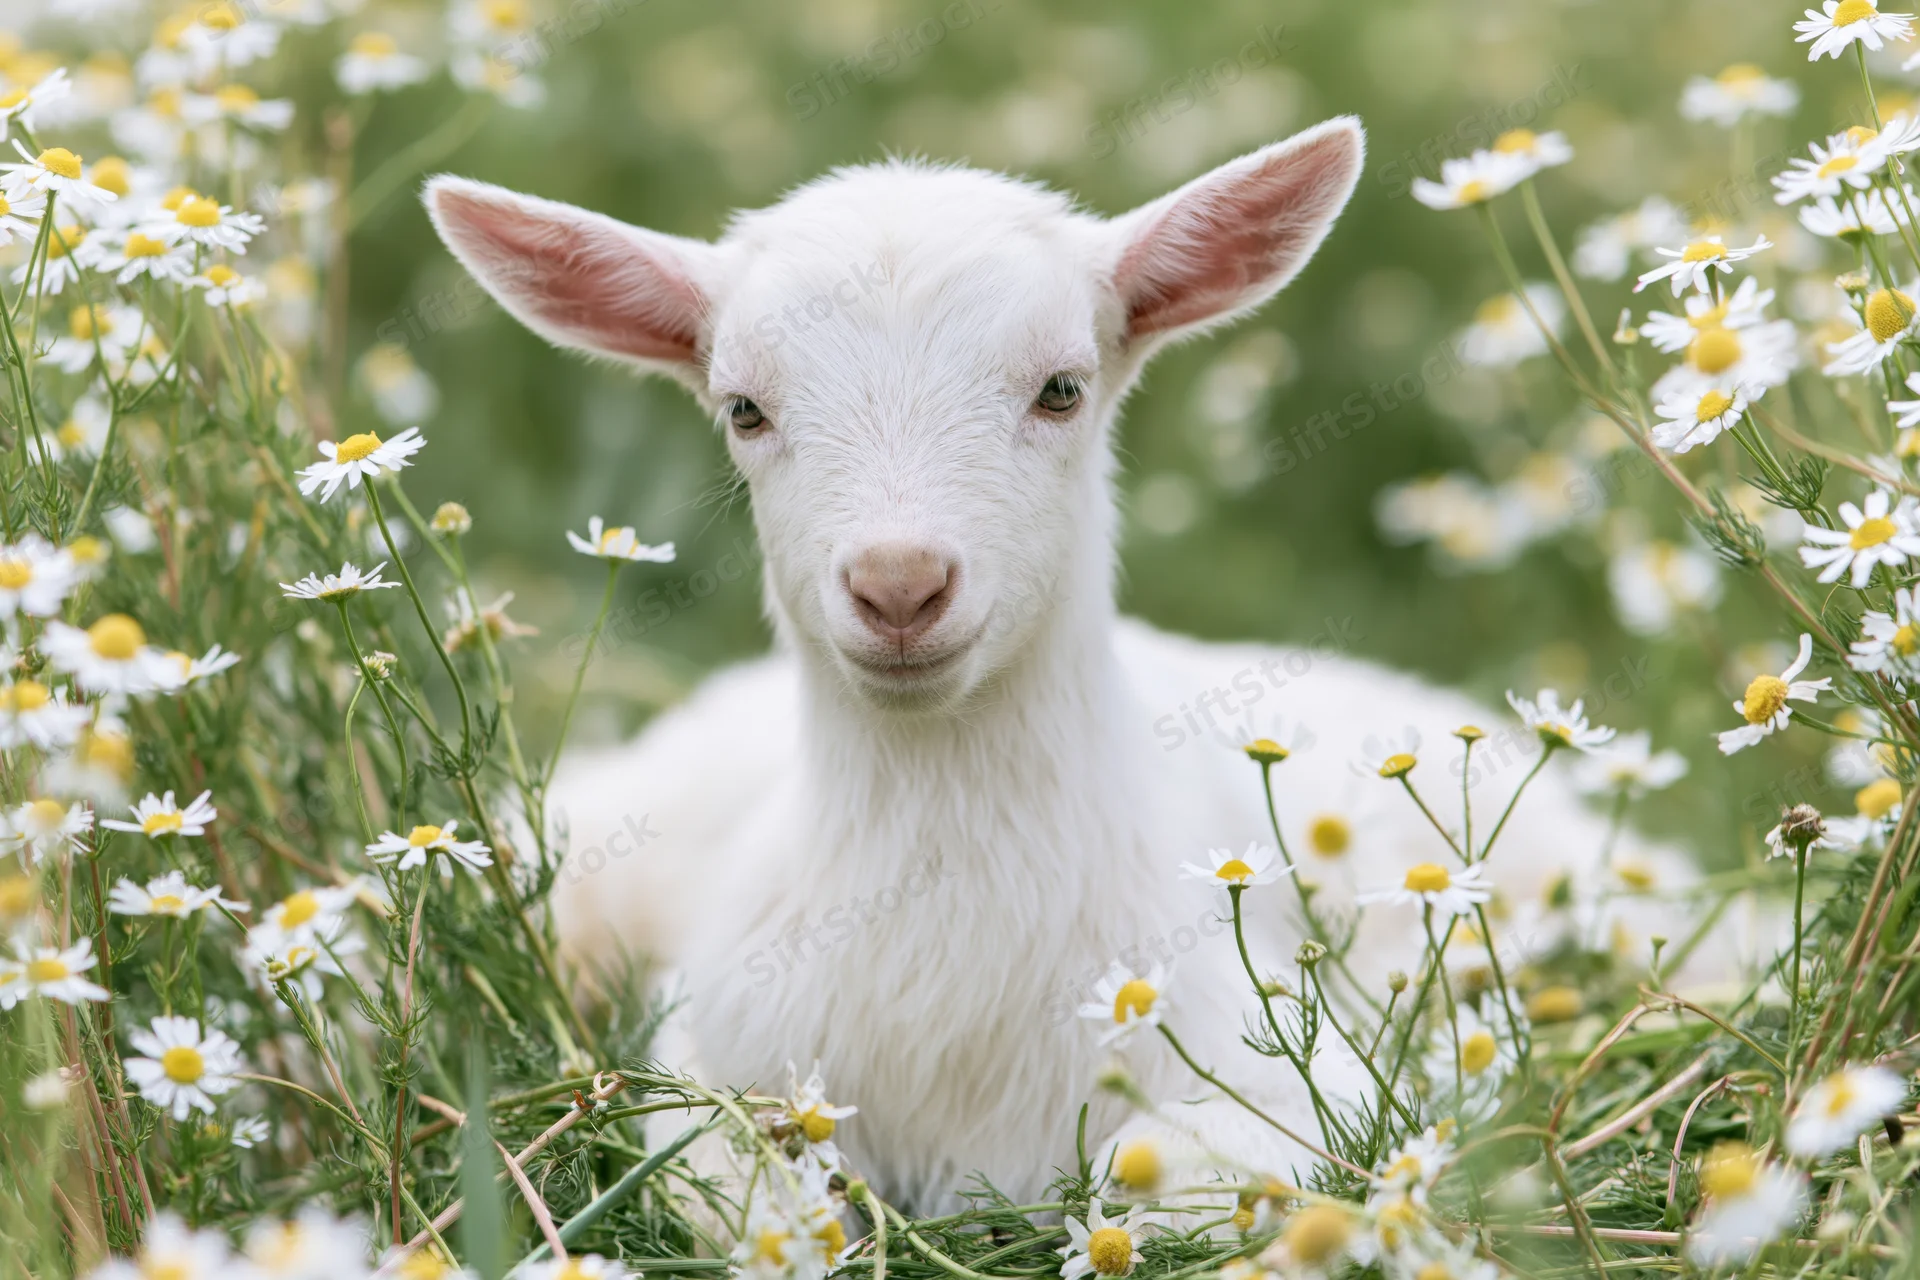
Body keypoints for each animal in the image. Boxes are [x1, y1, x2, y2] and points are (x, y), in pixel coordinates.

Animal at [425, 119, 1710, 1212]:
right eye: (744, 408)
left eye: (1061, 387)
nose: (899, 584)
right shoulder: (710, 1042)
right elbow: (729, 1180)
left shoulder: (1307, 1078)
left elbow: (1171, 1175)